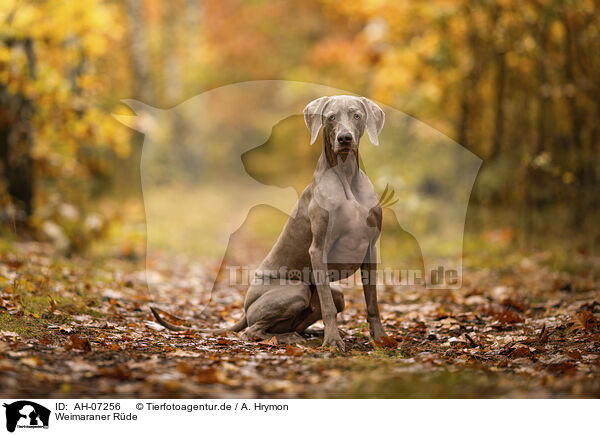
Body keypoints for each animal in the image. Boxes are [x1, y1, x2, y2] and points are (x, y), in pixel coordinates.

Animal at [229, 96, 390, 350]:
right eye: (331, 117)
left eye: (357, 115)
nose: (345, 138)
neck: (346, 175)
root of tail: (244, 312)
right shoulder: (318, 249)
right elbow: (327, 306)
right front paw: (333, 342)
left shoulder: (370, 249)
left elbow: (372, 301)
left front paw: (380, 337)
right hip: (297, 290)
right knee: (251, 332)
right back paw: (290, 338)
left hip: (336, 295)